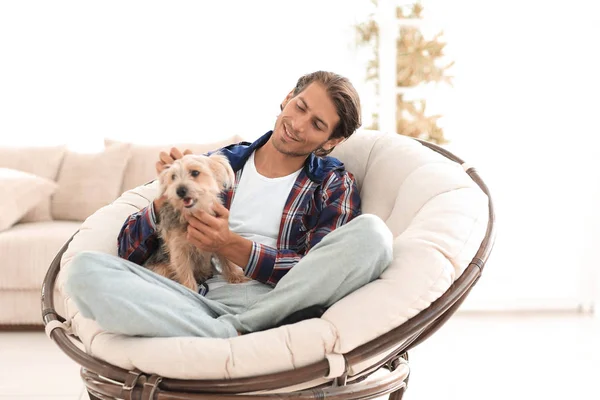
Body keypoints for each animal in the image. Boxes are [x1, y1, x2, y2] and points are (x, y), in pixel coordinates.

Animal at [144, 152, 247, 290]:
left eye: (195, 173)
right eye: (173, 177)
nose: (180, 190)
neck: (192, 214)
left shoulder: (219, 241)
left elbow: (227, 259)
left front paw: (236, 276)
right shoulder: (178, 250)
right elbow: (184, 271)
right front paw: (190, 290)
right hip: (162, 268)